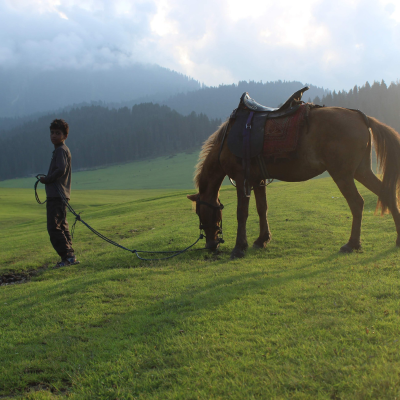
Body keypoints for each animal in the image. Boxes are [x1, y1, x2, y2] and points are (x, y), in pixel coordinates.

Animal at [188, 106, 400, 258]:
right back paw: (397, 239)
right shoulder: (258, 180)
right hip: (361, 171)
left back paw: (352, 244)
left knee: (357, 203)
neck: (228, 140)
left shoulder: (242, 180)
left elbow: (242, 213)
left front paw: (239, 247)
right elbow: (262, 208)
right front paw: (262, 240)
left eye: (200, 212)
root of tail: (361, 117)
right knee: (387, 193)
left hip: (343, 174)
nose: (210, 244)